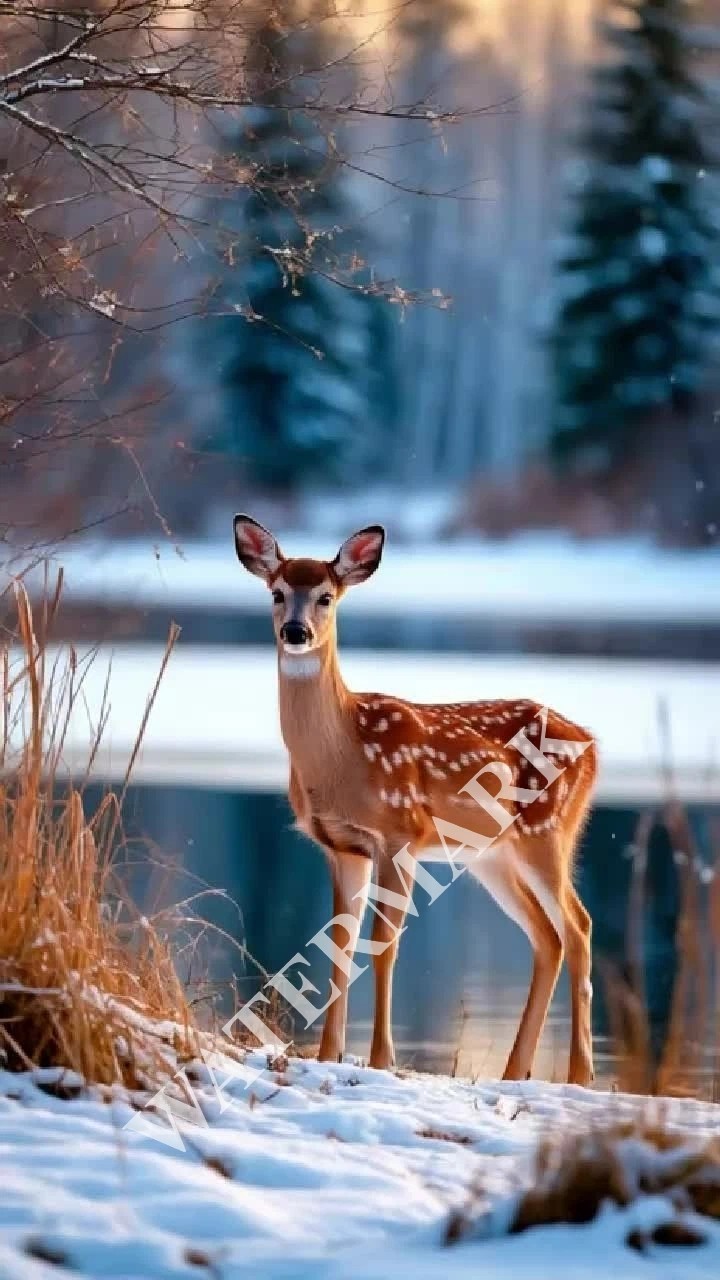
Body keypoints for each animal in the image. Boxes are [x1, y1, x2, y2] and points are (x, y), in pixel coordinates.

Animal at [233, 515, 598, 1086]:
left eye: (325, 597)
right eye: (277, 593)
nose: (296, 632)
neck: (344, 753)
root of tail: (593, 744)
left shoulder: (400, 833)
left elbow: (383, 944)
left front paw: (381, 1059)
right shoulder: (341, 847)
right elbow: (339, 945)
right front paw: (326, 1055)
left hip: (548, 832)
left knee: (578, 928)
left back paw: (579, 1077)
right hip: (492, 856)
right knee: (548, 937)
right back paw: (515, 1072)